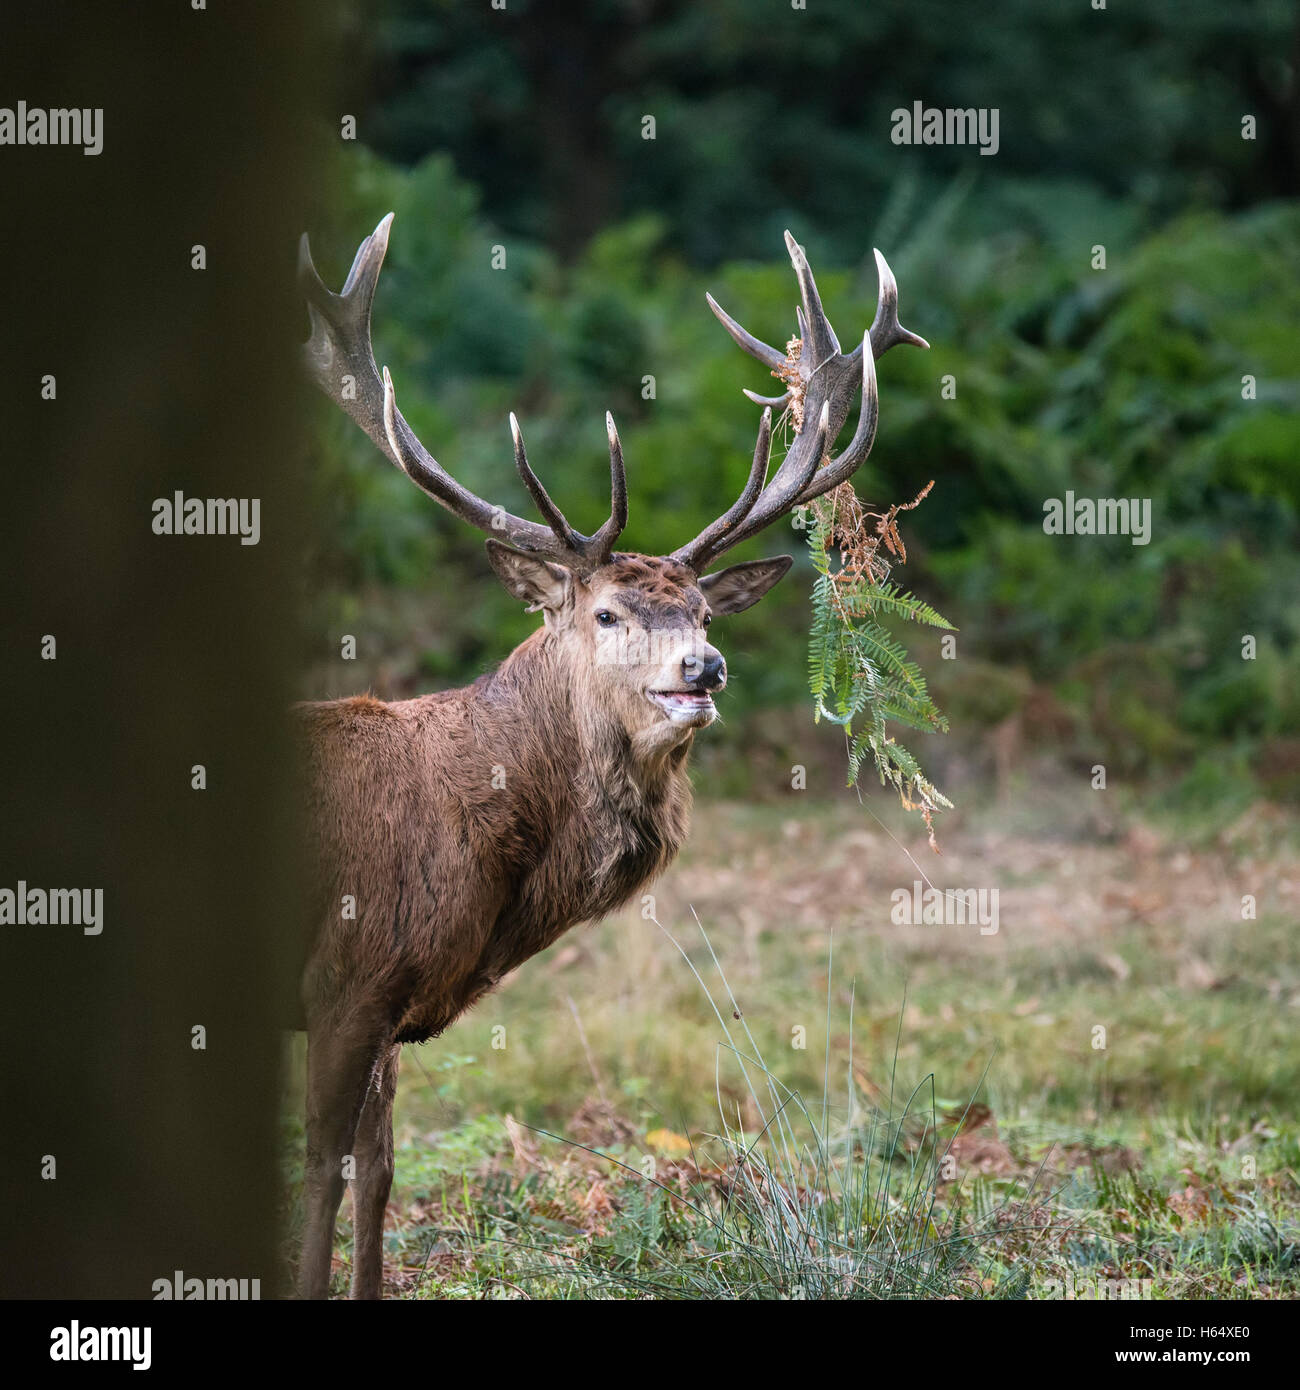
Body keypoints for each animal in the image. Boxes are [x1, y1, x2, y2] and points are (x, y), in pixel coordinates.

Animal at [294, 211, 923, 1295]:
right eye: (606, 611)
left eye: (705, 608)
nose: (705, 665)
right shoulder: (346, 976)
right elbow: (323, 1176)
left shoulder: (387, 1003)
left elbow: (377, 1177)